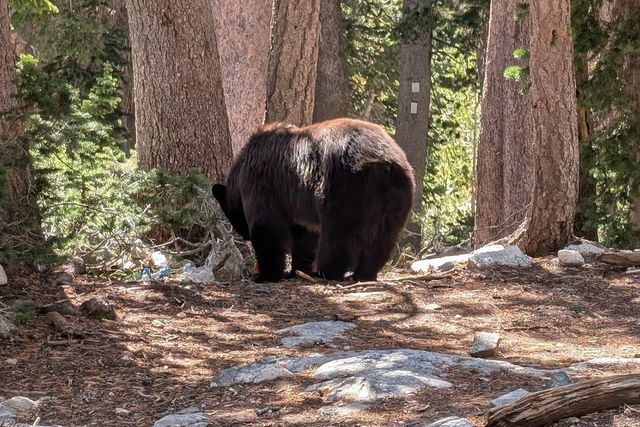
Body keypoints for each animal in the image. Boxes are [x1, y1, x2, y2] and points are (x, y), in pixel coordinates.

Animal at [212, 118, 415, 283]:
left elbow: (266, 226)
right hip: (399, 196)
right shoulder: (297, 206)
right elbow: (304, 236)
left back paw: (326, 272)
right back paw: (364, 273)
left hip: (345, 188)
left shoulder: (261, 184)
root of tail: (386, 164)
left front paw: (266, 274)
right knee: (384, 239)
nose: (245, 236)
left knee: (337, 235)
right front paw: (297, 270)